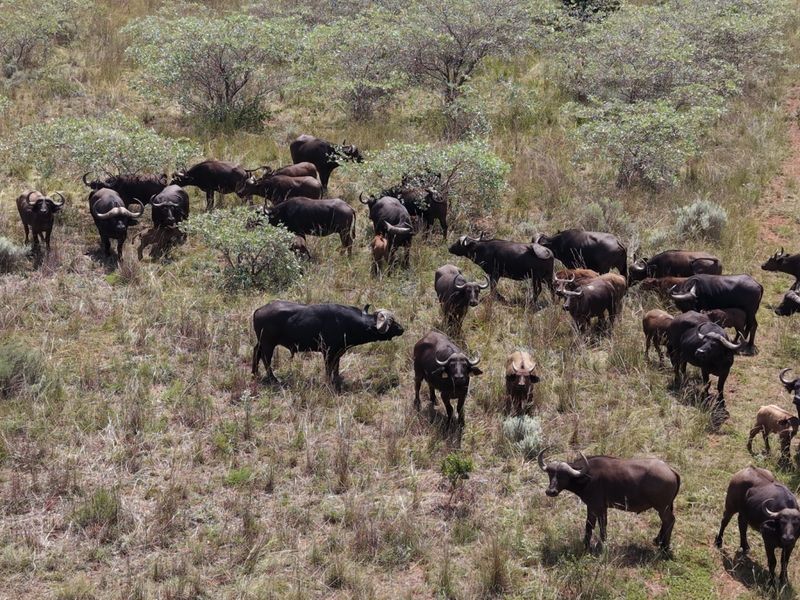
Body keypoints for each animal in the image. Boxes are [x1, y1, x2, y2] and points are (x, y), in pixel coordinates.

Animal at [252, 301, 403, 390]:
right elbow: (329, 368)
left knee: (256, 352)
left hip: (262, 342)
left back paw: (255, 373)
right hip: (268, 344)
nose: (402, 328)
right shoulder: (328, 352)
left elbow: (336, 366)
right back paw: (274, 379)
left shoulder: (338, 351)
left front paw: (337, 380)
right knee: (266, 359)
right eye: (390, 323)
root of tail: (258, 310)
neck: (345, 323)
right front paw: (329, 382)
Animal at [538, 450, 680, 551]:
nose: (551, 491)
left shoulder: (600, 507)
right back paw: (658, 541)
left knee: (669, 521)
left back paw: (664, 547)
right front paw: (586, 546)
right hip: (665, 507)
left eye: (563, 475)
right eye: (550, 474)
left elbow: (602, 527)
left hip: (662, 507)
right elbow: (589, 525)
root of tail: (671, 470)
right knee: (666, 522)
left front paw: (601, 546)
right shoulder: (592, 507)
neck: (587, 477)